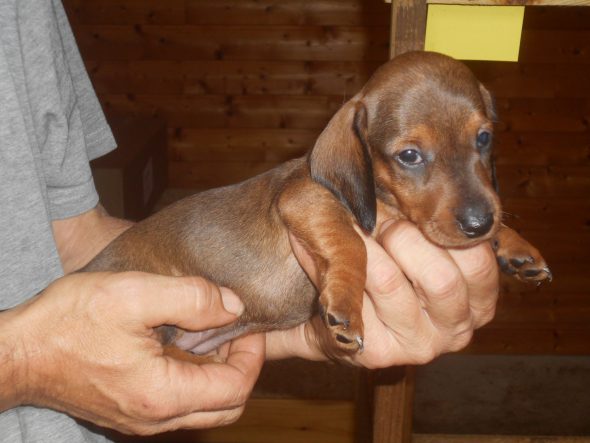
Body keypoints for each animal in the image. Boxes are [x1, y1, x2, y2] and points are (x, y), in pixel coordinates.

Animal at [84, 52, 556, 362]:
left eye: (484, 138)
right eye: (409, 156)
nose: (479, 224)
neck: (382, 200)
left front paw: (515, 246)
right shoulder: (307, 198)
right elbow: (353, 244)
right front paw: (346, 304)